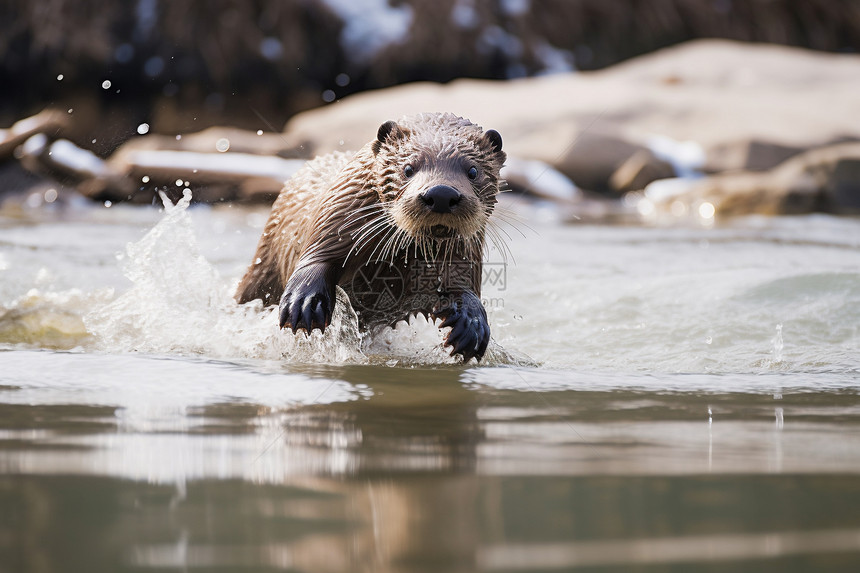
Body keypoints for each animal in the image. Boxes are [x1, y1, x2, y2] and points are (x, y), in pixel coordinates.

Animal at [235, 113, 504, 362]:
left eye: (473, 171)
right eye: (408, 168)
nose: (441, 194)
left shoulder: (465, 255)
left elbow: (463, 288)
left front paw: (472, 326)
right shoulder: (336, 215)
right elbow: (316, 259)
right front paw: (303, 303)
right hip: (263, 266)